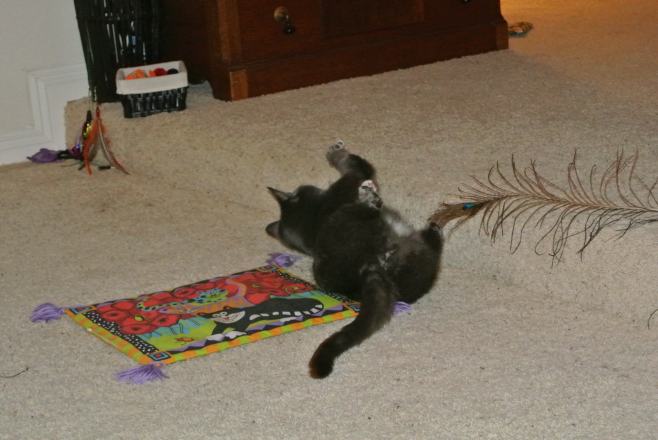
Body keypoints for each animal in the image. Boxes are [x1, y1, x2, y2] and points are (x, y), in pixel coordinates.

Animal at [266, 142, 443, 378]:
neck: (314, 220)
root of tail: (368, 267)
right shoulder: (352, 177)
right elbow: (354, 163)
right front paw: (336, 151)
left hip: (416, 272)